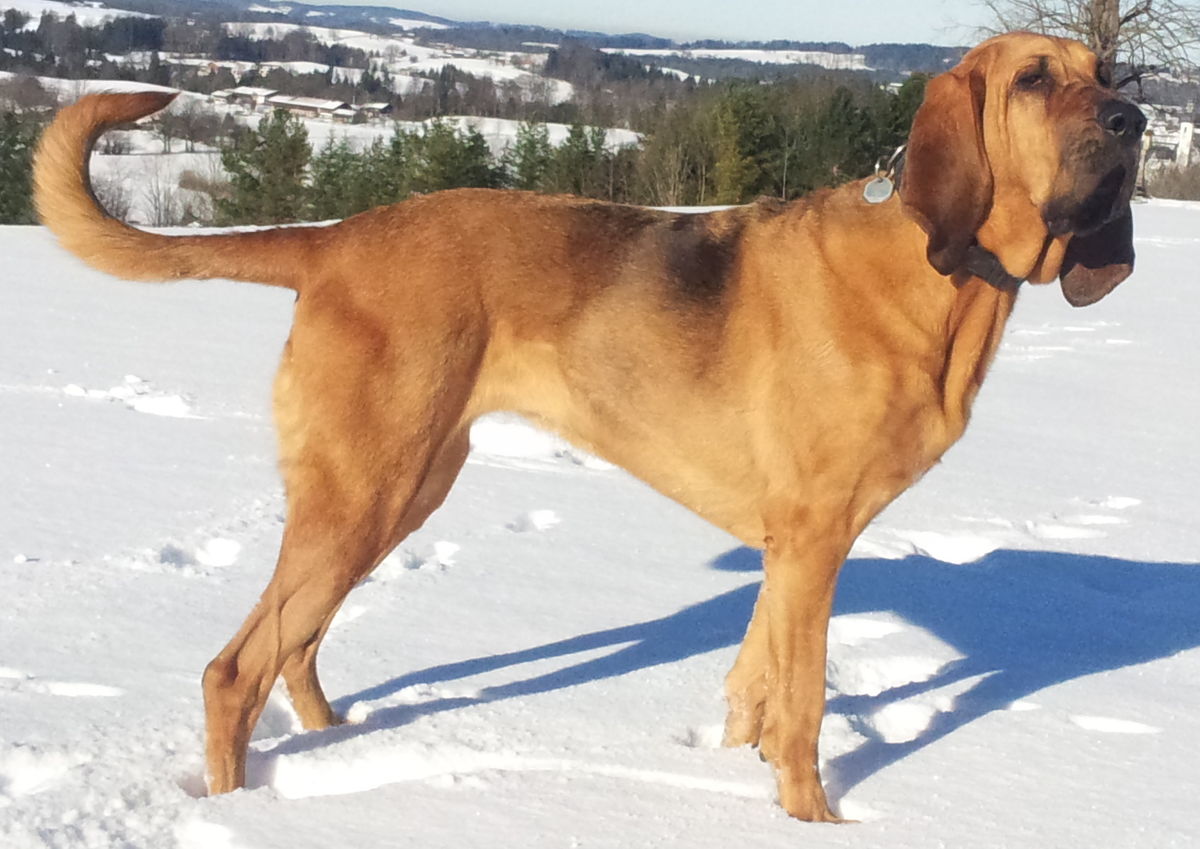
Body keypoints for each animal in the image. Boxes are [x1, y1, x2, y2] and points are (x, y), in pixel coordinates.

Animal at [32, 33, 1142, 820]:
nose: (1133, 119)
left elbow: (751, 688)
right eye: (1034, 80)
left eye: (1110, 73)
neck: (944, 272)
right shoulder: (816, 540)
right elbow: (804, 708)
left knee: (294, 643)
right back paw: (243, 812)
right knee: (234, 670)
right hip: (365, 491)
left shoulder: (790, 550)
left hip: (397, 489)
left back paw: (336, 741)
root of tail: (335, 238)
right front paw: (811, 821)